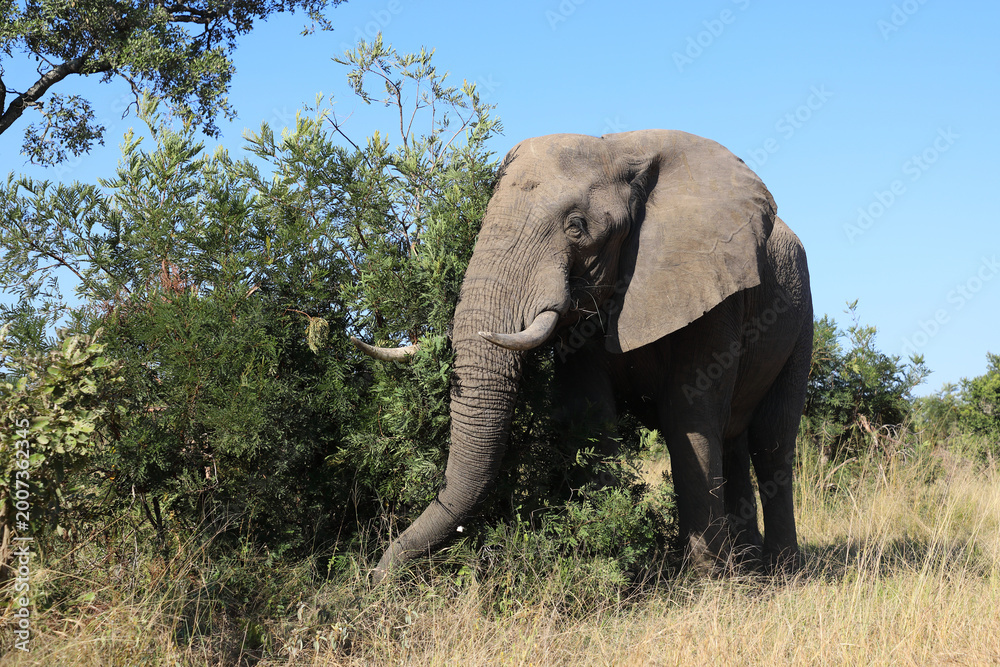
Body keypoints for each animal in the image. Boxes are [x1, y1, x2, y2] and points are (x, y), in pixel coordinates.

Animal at [353, 129, 812, 580]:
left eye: (576, 228)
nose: (377, 575)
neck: (622, 149)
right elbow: (590, 412)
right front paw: (618, 562)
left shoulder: (712, 292)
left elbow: (689, 413)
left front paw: (704, 582)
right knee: (735, 439)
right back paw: (750, 566)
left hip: (802, 310)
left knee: (772, 437)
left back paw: (782, 571)